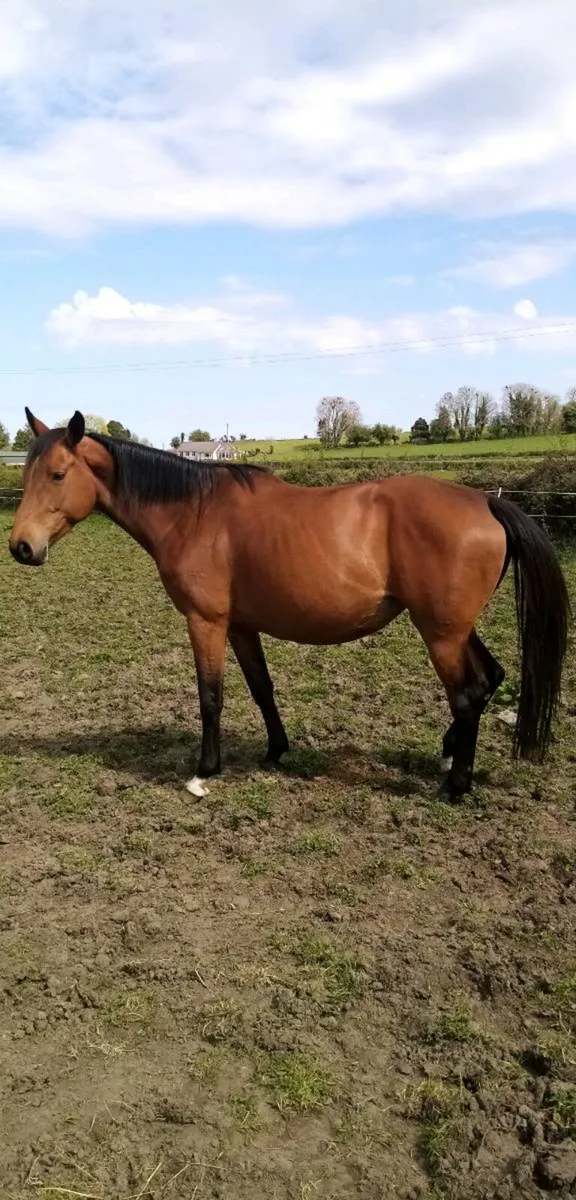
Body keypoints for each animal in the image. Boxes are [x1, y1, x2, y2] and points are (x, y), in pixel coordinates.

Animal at [9, 409, 570, 801]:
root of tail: (487, 502)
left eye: (56, 474)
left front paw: (204, 771)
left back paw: (456, 785)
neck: (194, 513)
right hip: (453, 628)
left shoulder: (205, 622)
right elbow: (261, 688)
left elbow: (210, 696)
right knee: (491, 678)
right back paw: (450, 754)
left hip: (441, 634)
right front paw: (276, 750)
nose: (21, 547)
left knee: (468, 694)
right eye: (28, 475)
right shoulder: (240, 625)